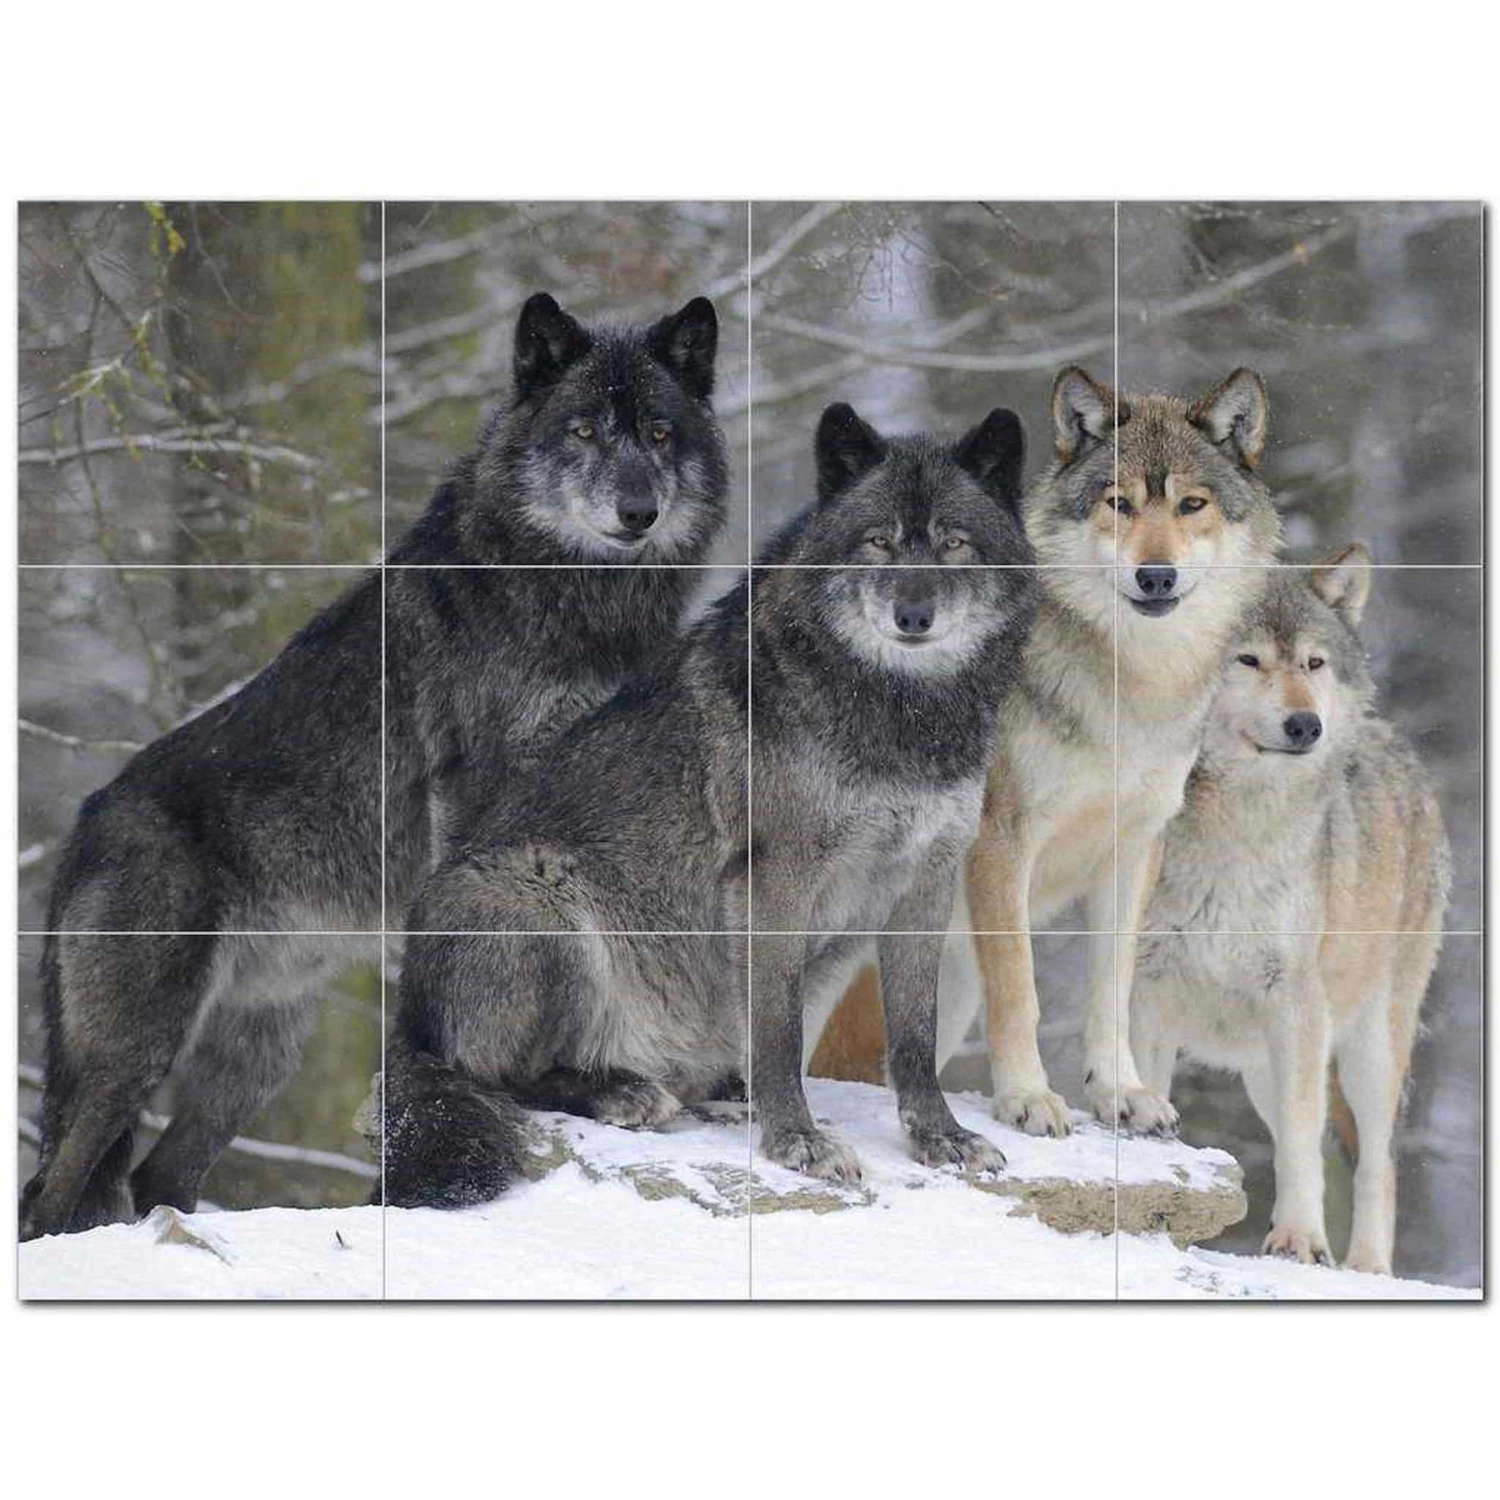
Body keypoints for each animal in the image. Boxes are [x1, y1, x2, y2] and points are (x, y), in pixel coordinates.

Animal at [20, 292, 727, 1240]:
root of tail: (85, 820)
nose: (637, 510)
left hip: (256, 1058)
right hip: (134, 1051)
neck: (574, 593)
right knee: (53, 1191)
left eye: (657, 431)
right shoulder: (478, 793)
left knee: (160, 1175)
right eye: (581, 430)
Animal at [382, 400, 1036, 1205]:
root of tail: (408, 1023)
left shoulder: (927, 882)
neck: (901, 717)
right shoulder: (773, 882)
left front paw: (940, 1137)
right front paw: (797, 1141)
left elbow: (914, 1034)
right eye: (879, 541)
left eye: (953, 543)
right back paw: (622, 1090)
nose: (913, 617)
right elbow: (780, 1033)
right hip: (538, 892)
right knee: (497, 1076)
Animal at [1131, 549, 1449, 1273]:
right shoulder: (1145, 993)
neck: (1237, 831)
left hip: (1365, 1049)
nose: (1307, 726)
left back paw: (1365, 1268)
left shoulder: (1296, 1004)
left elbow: (1304, 1144)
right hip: (1261, 1067)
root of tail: (1402, 751)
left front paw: (1300, 1240)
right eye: (1247, 660)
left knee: (1376, 1164)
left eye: (1313, 663)